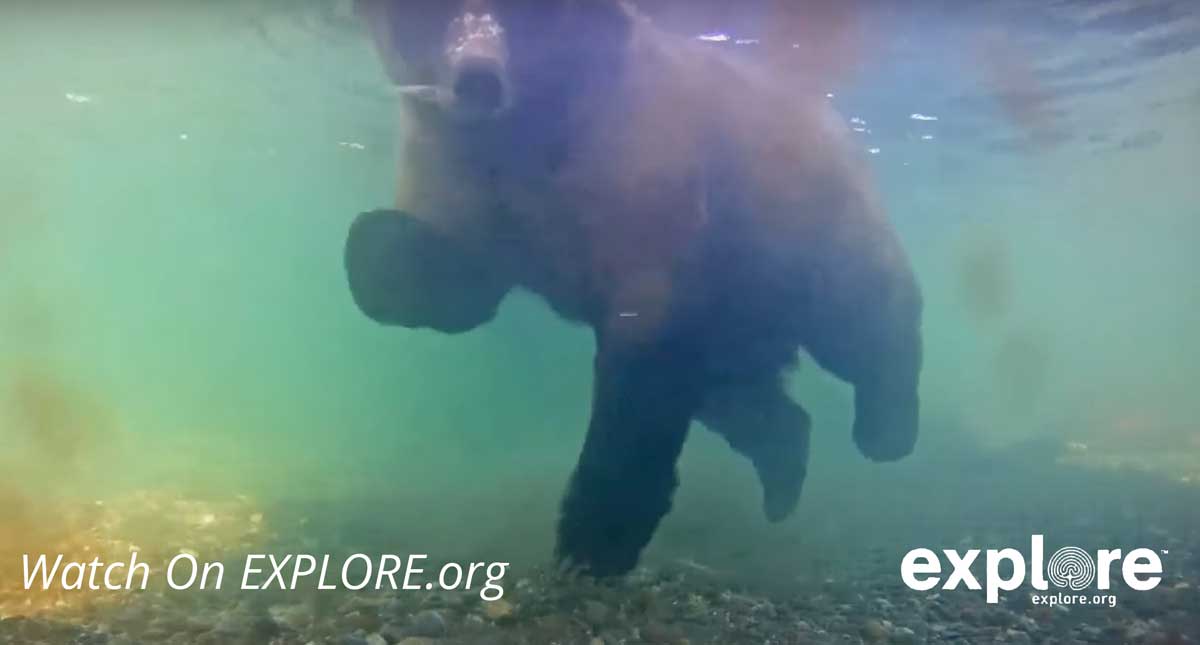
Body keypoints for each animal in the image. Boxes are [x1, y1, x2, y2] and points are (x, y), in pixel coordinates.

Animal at [343, 0, 921, 573]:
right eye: (427, 13)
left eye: (533, 16)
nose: (478, 78)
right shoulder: (454, 175)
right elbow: (449, 282)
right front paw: (380, 248)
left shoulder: (648, 189)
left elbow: (639, 381)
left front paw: (592, 541)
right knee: (744, 400)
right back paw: (783, 479)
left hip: (809, 240)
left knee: (864, 326)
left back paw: (886, 431)